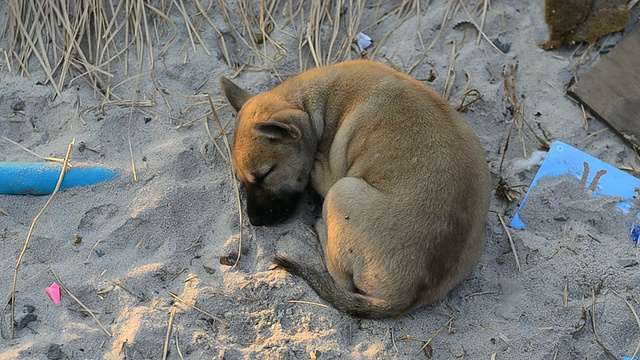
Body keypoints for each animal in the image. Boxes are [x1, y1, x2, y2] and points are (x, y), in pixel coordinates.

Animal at [220, 60, 490, 320]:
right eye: (242, 181)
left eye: (265, 174)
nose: (255, 221)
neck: (314, 106)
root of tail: (404, 297)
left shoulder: (330, 174)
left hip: (341, 191)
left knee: (340, 278)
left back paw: (320, 226)